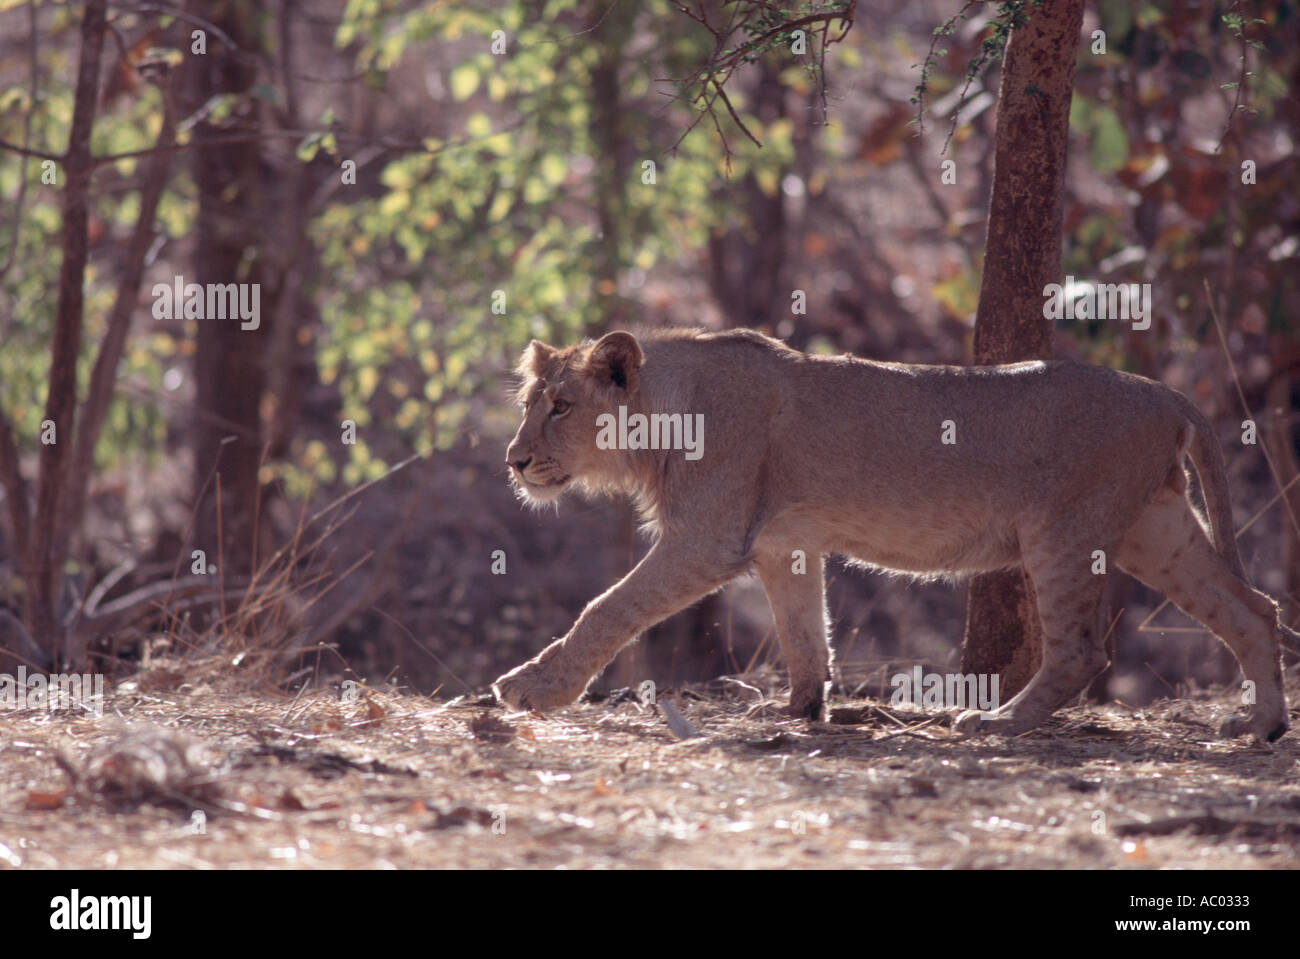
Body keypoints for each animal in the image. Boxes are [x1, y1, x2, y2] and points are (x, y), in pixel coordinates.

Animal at [488, 328, 1300, 738]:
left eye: (562, 406)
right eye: (530, 403)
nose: (514, 460)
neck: (665, 410)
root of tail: (1166, 394)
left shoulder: (708, 539)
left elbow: (607, 608)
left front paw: (532, 687)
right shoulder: (783, 543)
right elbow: (804, 632)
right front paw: (800, 711)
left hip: (1065, 531)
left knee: (1081, 650)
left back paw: (998, 720)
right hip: (1153, 529)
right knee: (1254, 608)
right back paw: (1260, 725)